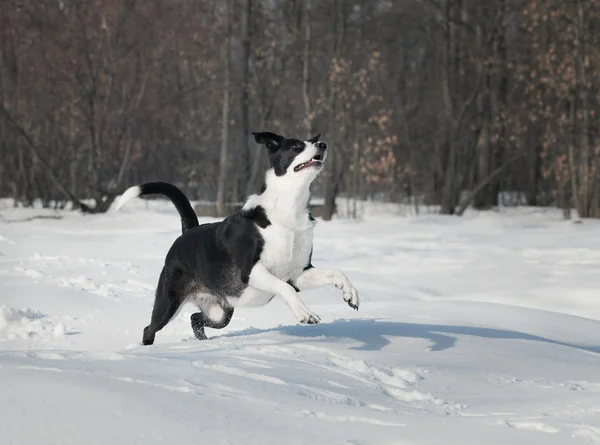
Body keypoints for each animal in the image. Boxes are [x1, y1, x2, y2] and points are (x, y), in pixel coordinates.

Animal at [118, 130, 360, 346]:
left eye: (313, 140)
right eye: (296, 146)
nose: (323, 145)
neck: (289, 209)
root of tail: (187, 232)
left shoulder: (298, 274)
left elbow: (336, 272)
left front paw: (350, 294)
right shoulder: (252, 271)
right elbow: (285, 288)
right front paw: (305, 313)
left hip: (220, 312)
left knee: (195, 318)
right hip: (169, 302)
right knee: (149, 328)